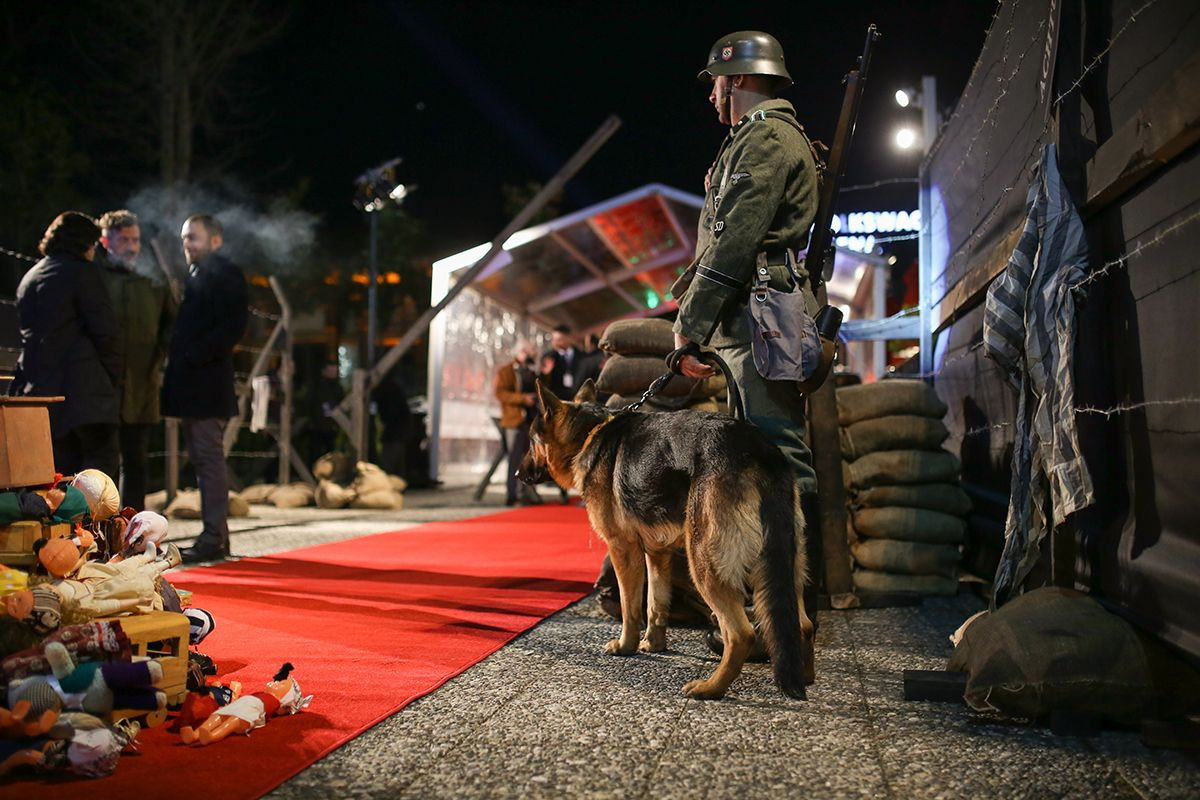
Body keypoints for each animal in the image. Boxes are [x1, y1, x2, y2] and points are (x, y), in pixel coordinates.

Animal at [520, 379, 811, 695]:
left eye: (531, 441)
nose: (517, 474)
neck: (588, 433)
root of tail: (760, 454)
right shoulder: (658, 554)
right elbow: (655, 604)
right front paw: (654, 643)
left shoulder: (623, 550)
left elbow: (630, 607)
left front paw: (626, 645)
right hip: (784, 567)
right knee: (803, 624)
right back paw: (805, 677)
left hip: (704, 562)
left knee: (740, 633)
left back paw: (711, 688)